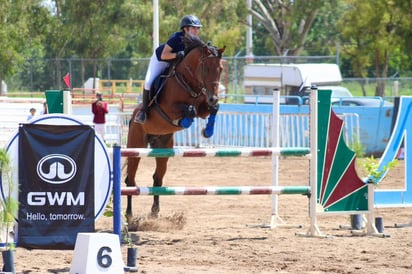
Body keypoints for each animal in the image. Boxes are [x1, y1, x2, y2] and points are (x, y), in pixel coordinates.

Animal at [124, 34, 225, 223]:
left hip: (163, 148)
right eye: (206, 68)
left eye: (220, 69)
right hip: (136, 146)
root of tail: (132, 117)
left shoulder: (204, 107)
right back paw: (129, 215)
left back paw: (154, 212)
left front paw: (207, 131)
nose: (214, 97)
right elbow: (190, 110)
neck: (189, 82)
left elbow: (212, 110)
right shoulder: (169, 108)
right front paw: (185, 122)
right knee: (130, 180)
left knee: (157, 179)